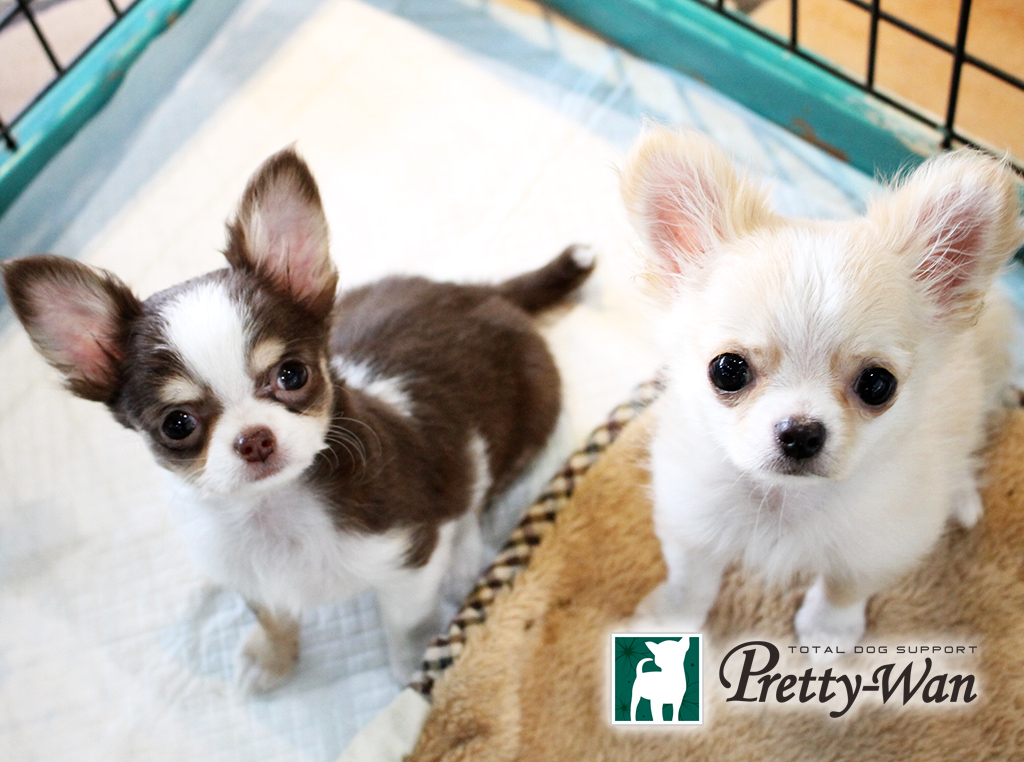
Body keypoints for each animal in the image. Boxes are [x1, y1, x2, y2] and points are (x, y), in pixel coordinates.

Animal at [1, 148, 594, 691]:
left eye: (291, 375)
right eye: (177, 424)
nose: (254, 439)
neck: (274, 512)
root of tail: (481, 292)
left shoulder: (409, 558)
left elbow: (403, 624)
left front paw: (413, 669)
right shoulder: (242, 569)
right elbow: (270, 612)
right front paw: (272, 657)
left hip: (528, 419)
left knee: (477, 489)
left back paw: (467, 552)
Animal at [621, 129, 1022, 651]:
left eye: (877, 385)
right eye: (727, 371)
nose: (801, 433)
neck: (786, 500)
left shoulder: (879, 542)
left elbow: (844, 586)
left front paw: (828, 631)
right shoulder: (692, 518)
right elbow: (691, 581)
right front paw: (668, 623)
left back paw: (962, 496)